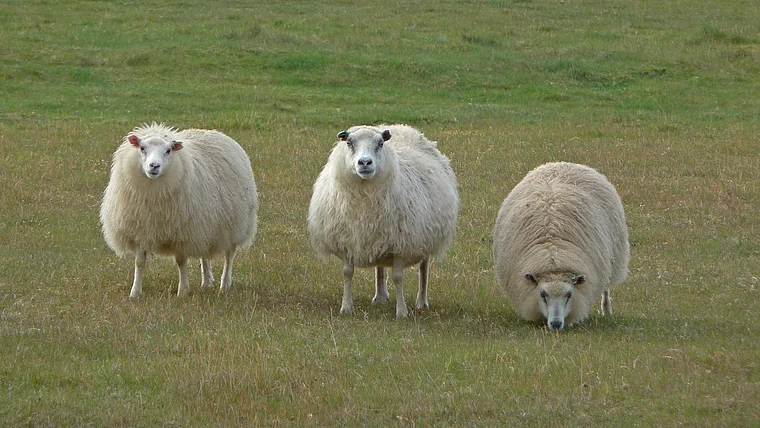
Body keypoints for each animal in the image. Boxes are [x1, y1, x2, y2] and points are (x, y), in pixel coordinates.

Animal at [100, 123, 258, 299]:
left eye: (168, 150)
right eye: (142, 148)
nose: (154, 166)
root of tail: (211, 131)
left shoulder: (182, 233)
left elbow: (181, 262)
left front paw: (182, 291)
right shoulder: (142, 229)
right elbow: (139, 263)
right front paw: (135, 293)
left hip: (235, 224)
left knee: (230, 255)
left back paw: (225, 285)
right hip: (206, 224)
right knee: (204, 253)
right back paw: (207, 282)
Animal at [307, 125, 459, 319]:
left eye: (380, 144)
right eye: (349, 143)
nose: (365, 162)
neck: (364, 197)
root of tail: (400, 127)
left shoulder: (402, 243)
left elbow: (398, 278)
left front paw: (401, 312)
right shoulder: (348, 240)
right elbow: (347, 273)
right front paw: (346, 307)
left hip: (427, 236)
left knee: (424, 268)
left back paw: (421, 302)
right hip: (380, 235)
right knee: (380, 267)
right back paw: (380, 296)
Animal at [492, 162, 629, 331]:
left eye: (569, 295)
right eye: (542, 294)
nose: (556, 324)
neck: (554, 260)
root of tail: (563, 163)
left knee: (606, 288)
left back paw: (607, 310)